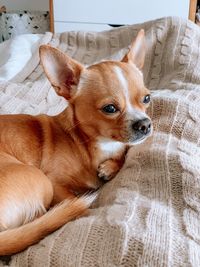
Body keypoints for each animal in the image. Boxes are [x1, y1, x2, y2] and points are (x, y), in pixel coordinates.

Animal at [0, 29, 152, 255]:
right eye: (110, 108)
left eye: (147, 99)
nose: (145, 124)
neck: (88, 143)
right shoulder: (55, 183)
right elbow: (73, 201)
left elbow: (124, 151)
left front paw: (111, 166)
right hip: (39, 179)